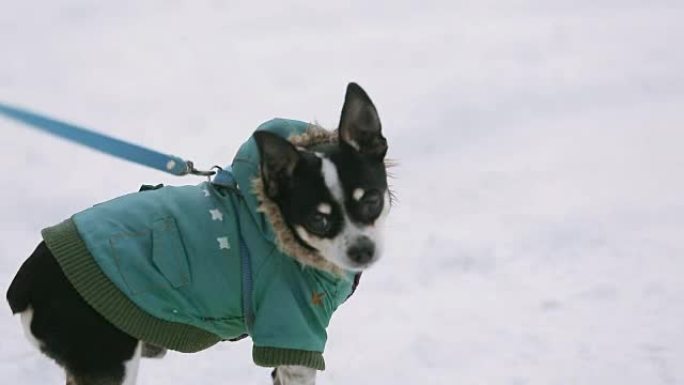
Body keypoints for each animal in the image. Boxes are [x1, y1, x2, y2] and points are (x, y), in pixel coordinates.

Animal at [5, 82, 390, 382]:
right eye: (317, 220)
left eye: (371, 200)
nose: (362, 251)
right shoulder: (291, 328)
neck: (277, 227)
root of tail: (26, 282)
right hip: (107, 359)